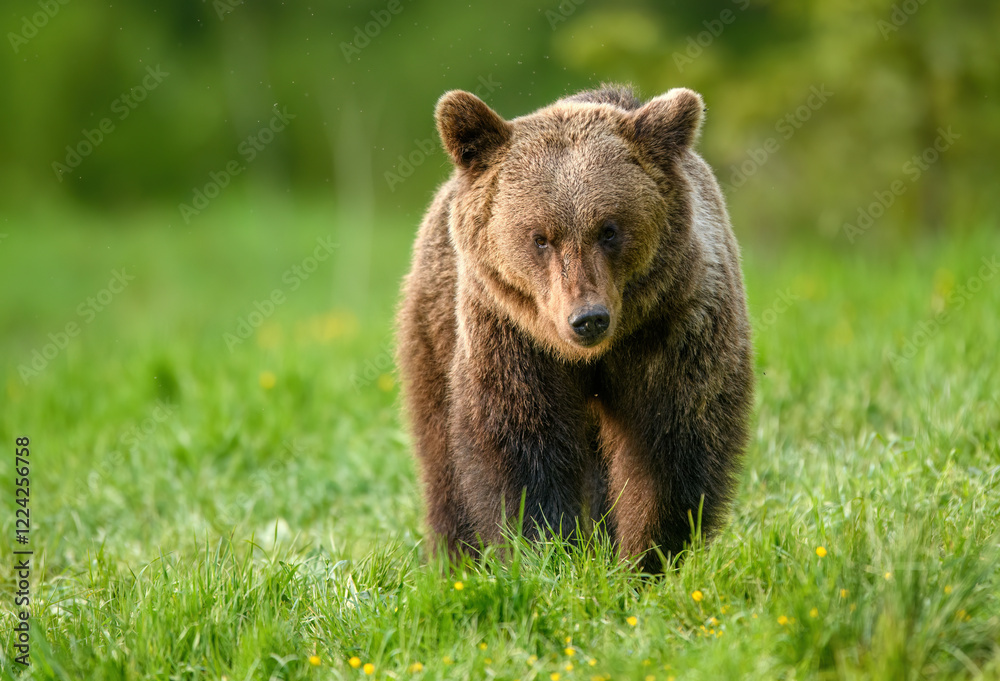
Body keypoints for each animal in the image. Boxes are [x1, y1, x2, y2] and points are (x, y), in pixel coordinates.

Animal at [396, 84, 754, 572]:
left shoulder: (672, 325)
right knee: (441, 452)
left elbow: (670, 444)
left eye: (609, 229)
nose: (588, 318)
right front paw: (547, 554)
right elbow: (523, 448)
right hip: (436, 324)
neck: (592, 355)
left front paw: (646, 556)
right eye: (540, 237)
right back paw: (456, 559)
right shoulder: (514, 337)